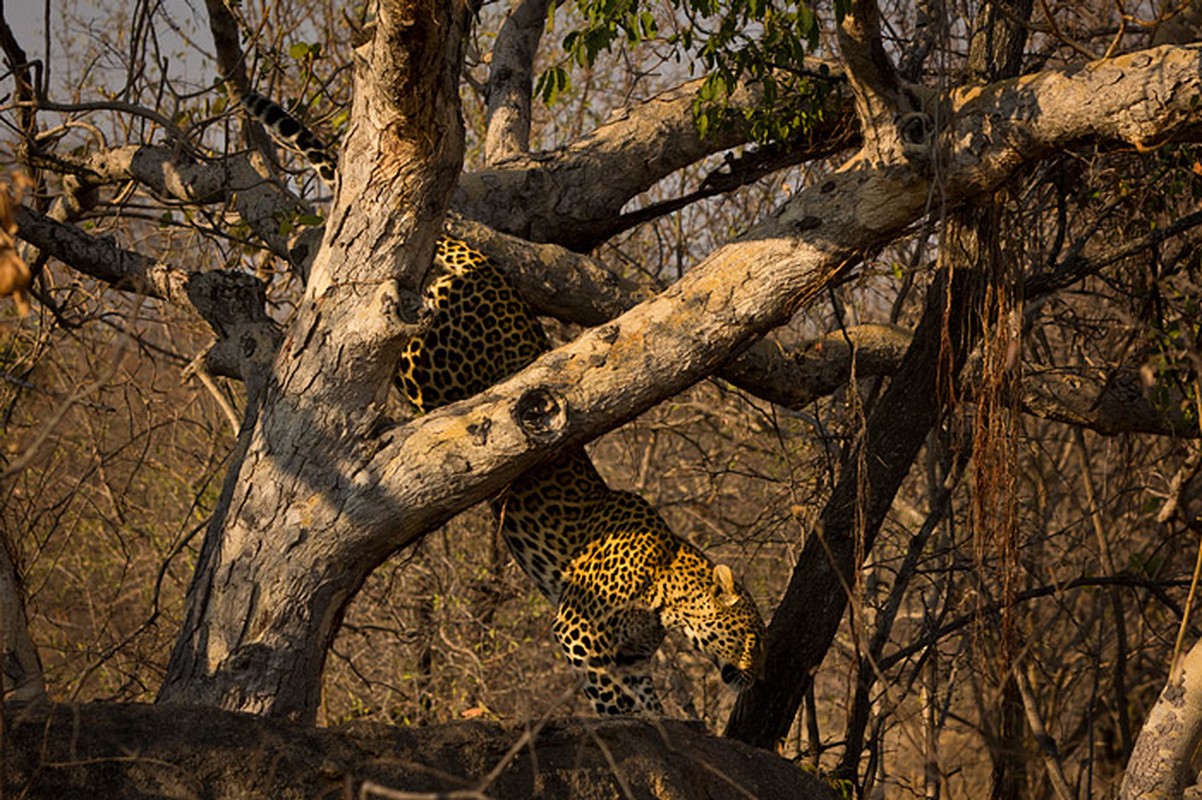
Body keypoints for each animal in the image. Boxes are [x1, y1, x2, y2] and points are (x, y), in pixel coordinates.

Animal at [239, 88, 764, 715]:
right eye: (749, 636)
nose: (758, 674)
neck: (668, 589)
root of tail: (464, 246)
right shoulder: (579, 632)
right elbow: (613, 704)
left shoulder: (628, 656)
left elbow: (645, 701)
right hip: (431, 353)